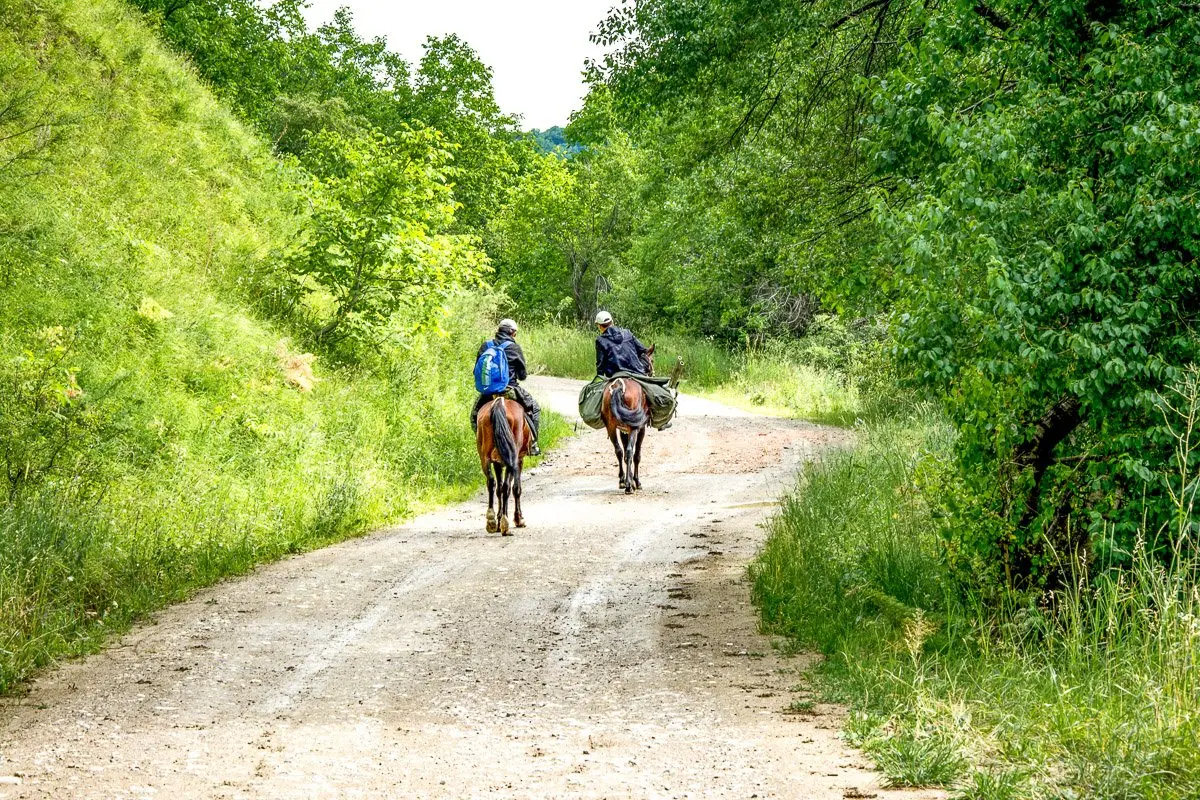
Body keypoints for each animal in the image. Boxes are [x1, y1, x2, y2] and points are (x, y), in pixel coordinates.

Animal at [476, 396, 533, 534]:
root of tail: (499, 403)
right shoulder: (518, 460)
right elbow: (516, 488)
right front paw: (519, 519)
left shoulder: (497, 463)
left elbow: (499, 489)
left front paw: (497, 521)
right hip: (512, 458)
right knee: (507, 486)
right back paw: (505, 523)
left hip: (484, 457)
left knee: (491, 482)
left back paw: (491, 520)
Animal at [600, 345, 655, 494]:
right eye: (652, 361)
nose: (652, 373)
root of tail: (619, 386)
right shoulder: (640, 429)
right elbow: (636, 455)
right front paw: (636, 482)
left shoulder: (623, 430)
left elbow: (623, 453)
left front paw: (626, 480)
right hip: (634, 427)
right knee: (630, 452)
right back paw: (630, 486)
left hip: (611, 427)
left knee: (618, 451)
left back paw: (622, 481)